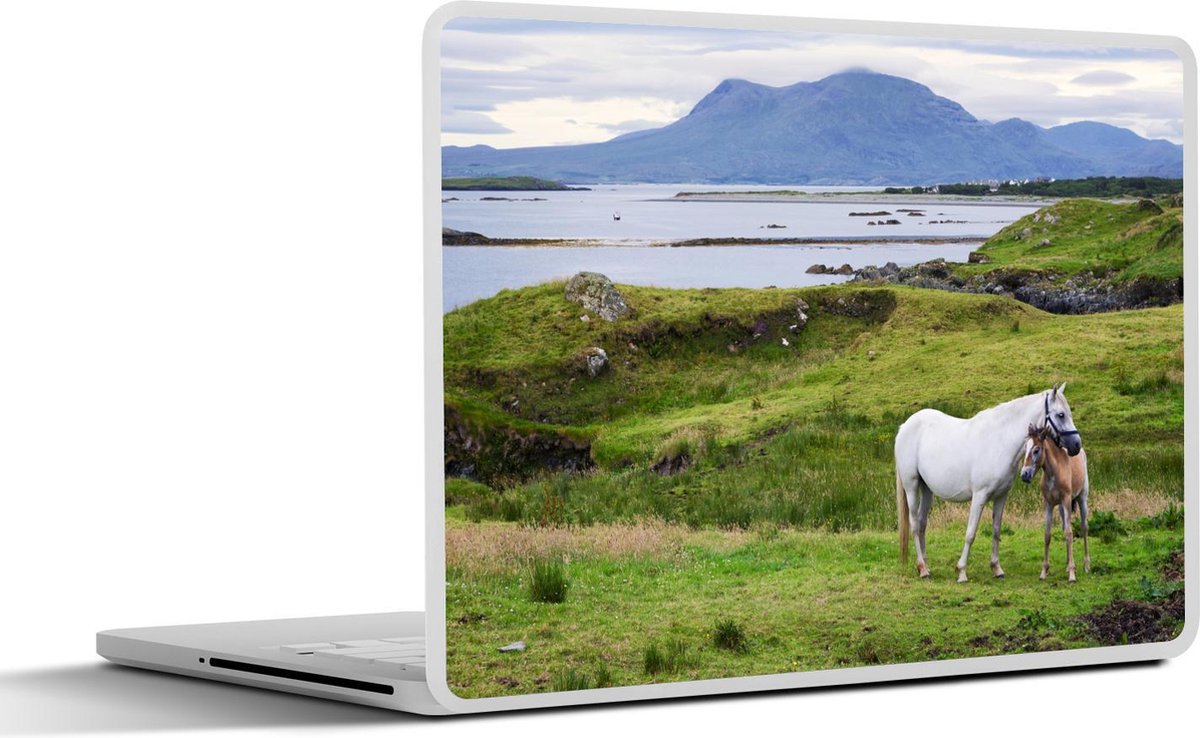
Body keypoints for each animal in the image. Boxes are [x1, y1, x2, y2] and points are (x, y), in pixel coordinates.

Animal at [895, 383, 1082, 582]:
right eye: (1061, 414)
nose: (1077, 445)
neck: (1000, 441)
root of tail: (905, 426)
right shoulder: (980, 496)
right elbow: (970, 533)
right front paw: (961, 571)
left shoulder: (1001, 496)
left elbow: (996, 530)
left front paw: (996, 568)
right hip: (911, 487)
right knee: (915, 525)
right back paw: (922, 568)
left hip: (926, 489)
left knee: (922, 523)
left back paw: (925, 566)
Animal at [1020, 423, 1090, 582]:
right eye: (1025, 448)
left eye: (1036, 450)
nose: (1024, 475)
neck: (1053, 472)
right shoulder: (1049, 504)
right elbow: (1048, 534)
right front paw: (1044, 572)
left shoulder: (1066, 500)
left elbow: (1069, 533)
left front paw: (1072, 575)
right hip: (1061, 508)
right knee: (1065, 526)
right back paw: (1068, 565)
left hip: (1081, 498)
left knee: (1084, 527)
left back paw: (1086, 565)